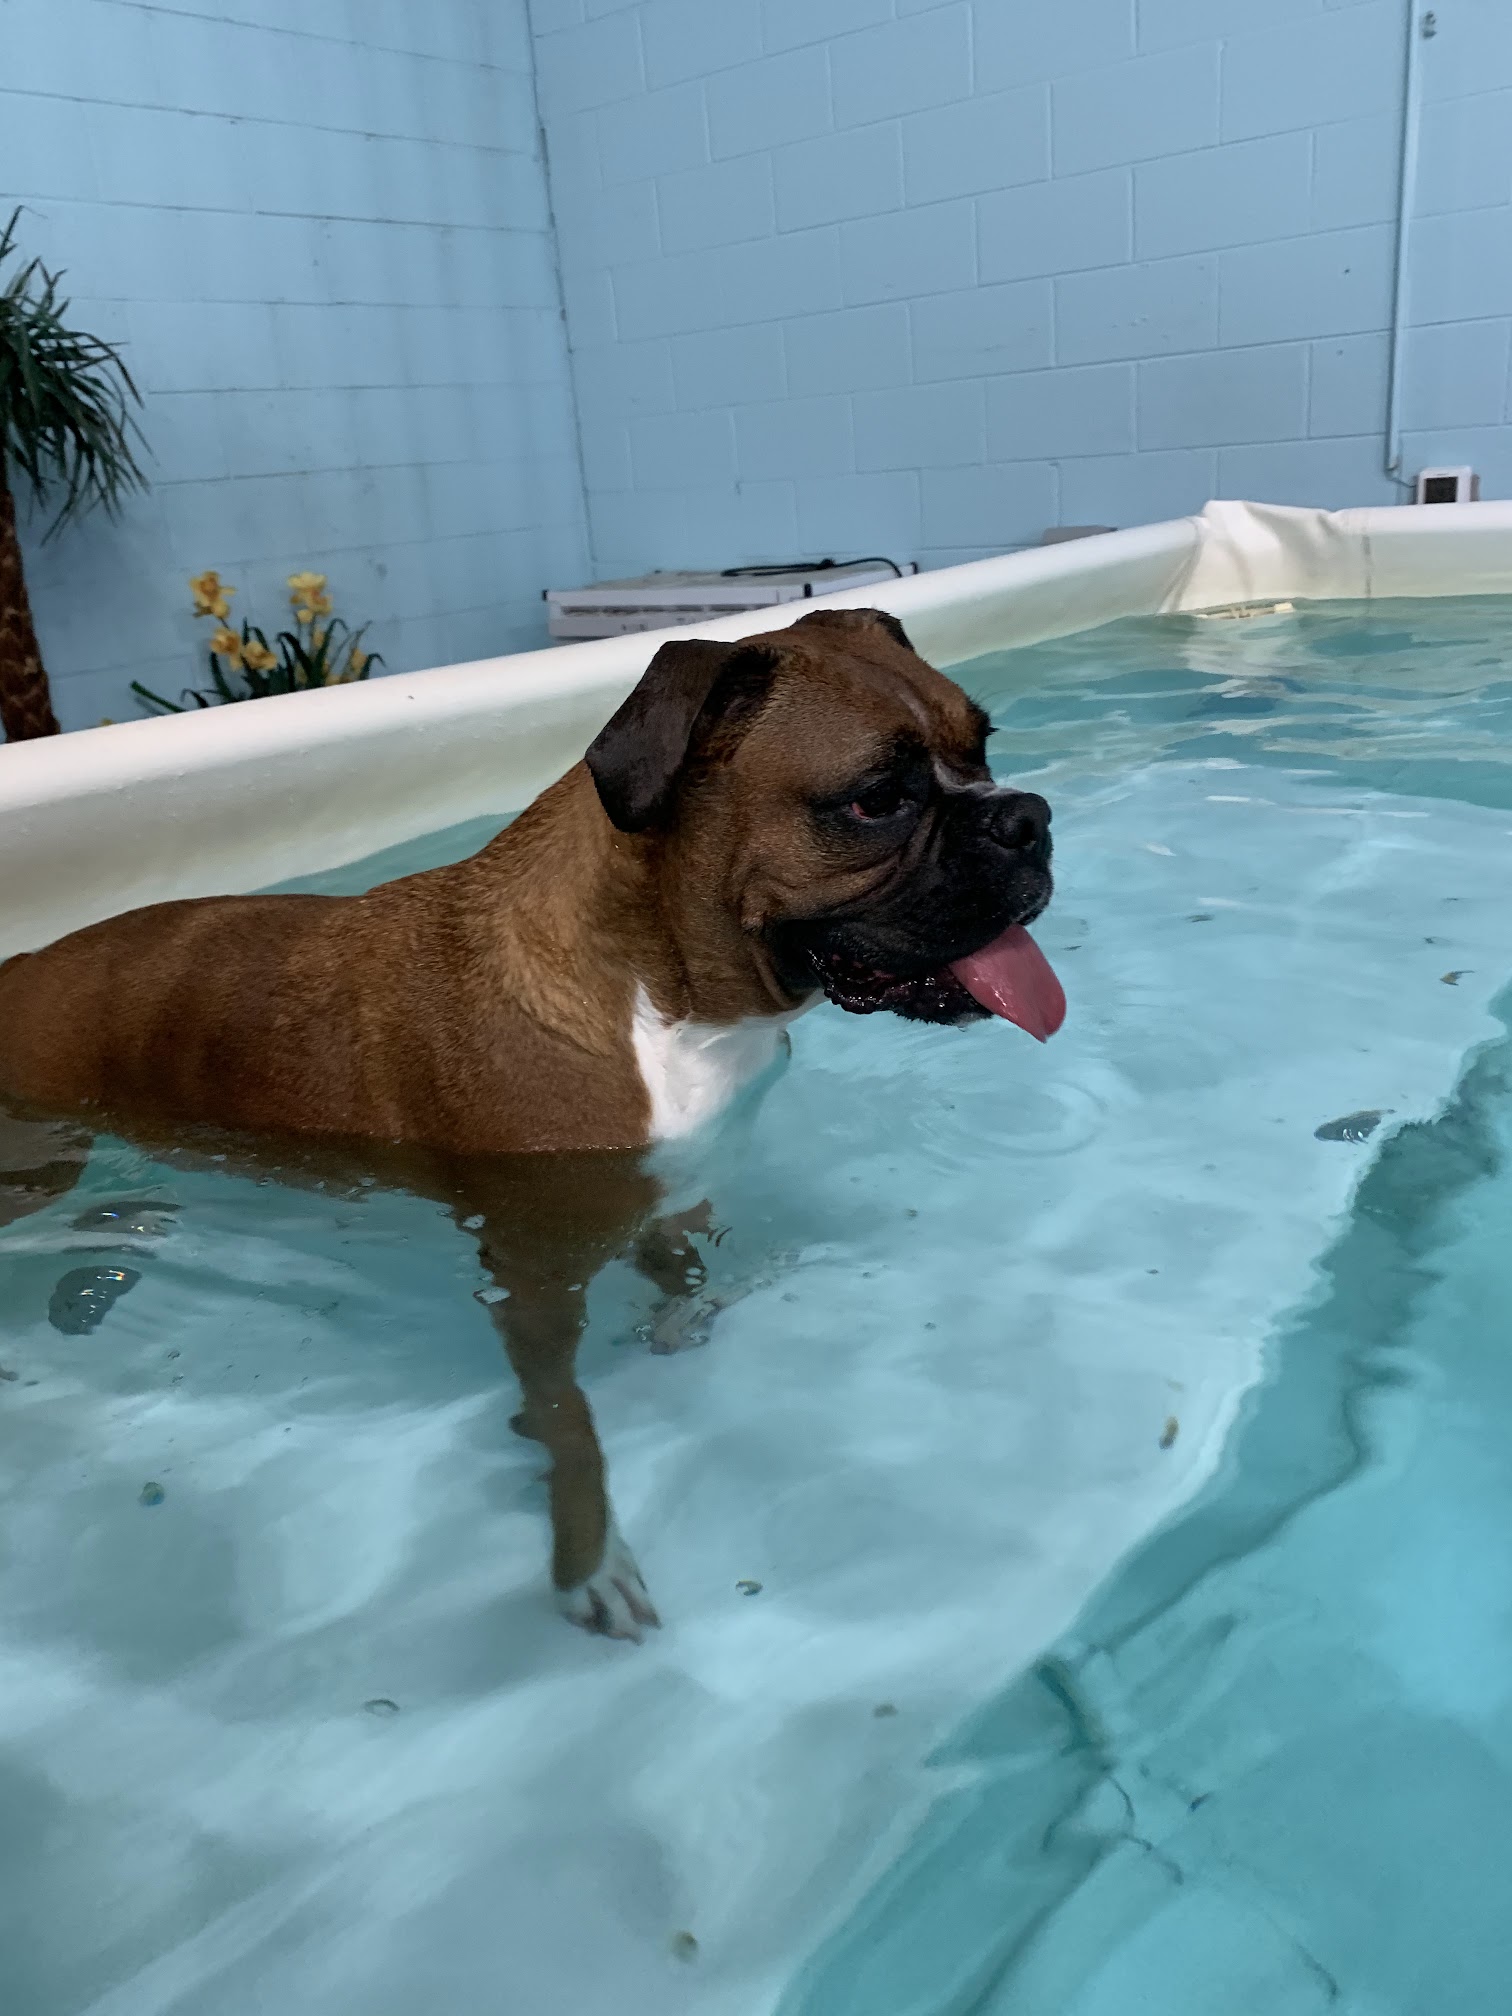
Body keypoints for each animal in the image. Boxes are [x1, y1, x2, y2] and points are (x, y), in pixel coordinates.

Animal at [0, 607, 1062, 1635]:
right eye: (876, 799)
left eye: (983, 745)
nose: (1028, 818)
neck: (660, 992)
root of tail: (20, 967)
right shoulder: (536, 1274)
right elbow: (563, 1412)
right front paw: (588, 1556)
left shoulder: (660, 1180)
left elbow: (673, 1251)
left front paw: (680, 1305)